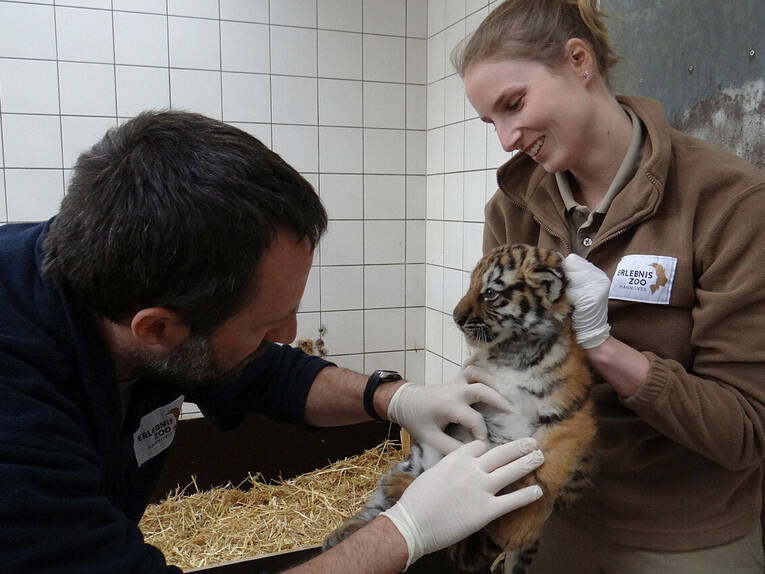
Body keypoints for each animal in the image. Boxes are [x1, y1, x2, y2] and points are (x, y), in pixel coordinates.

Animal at [323, 244, 597, 574]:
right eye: (471, 285)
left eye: (490, 293)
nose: (455, 317)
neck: (512, 350)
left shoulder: (572, 415)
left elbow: (546, 474)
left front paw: (520, 528)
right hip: (422, 458)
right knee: (390, 508)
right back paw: (352, 525)